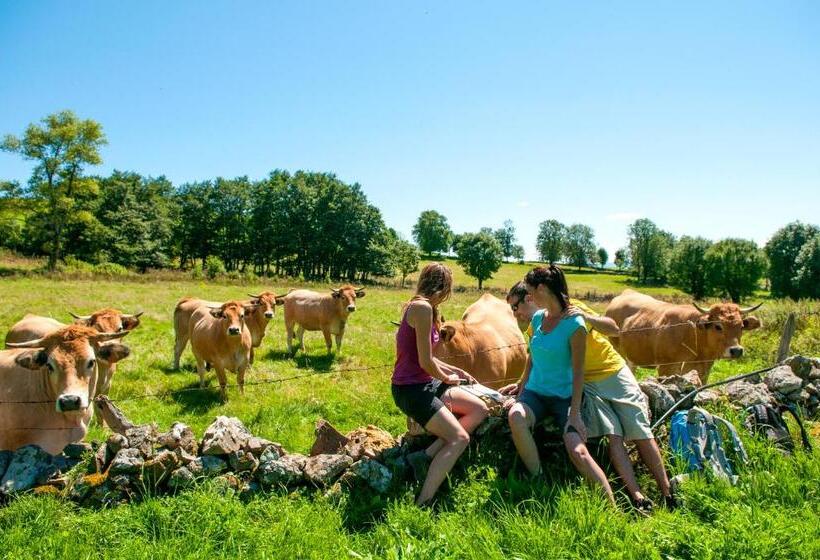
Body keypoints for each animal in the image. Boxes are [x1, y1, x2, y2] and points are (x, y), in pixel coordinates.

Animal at [604, 288, 764, 384]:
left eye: (741, 326)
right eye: (718, 326)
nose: (736, 350)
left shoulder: (703, 370)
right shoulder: (666, 368)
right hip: (617, 352)